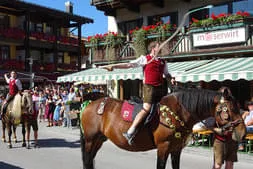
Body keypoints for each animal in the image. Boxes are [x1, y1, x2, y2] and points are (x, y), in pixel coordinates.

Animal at [80, 88, 246, 169]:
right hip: (90, 140)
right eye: (231, 109)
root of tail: (92, 103)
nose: (243, 132)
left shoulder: (176, 149)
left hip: (98, 140)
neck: (176, 113)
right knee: (87, 160)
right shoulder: (163, 147)